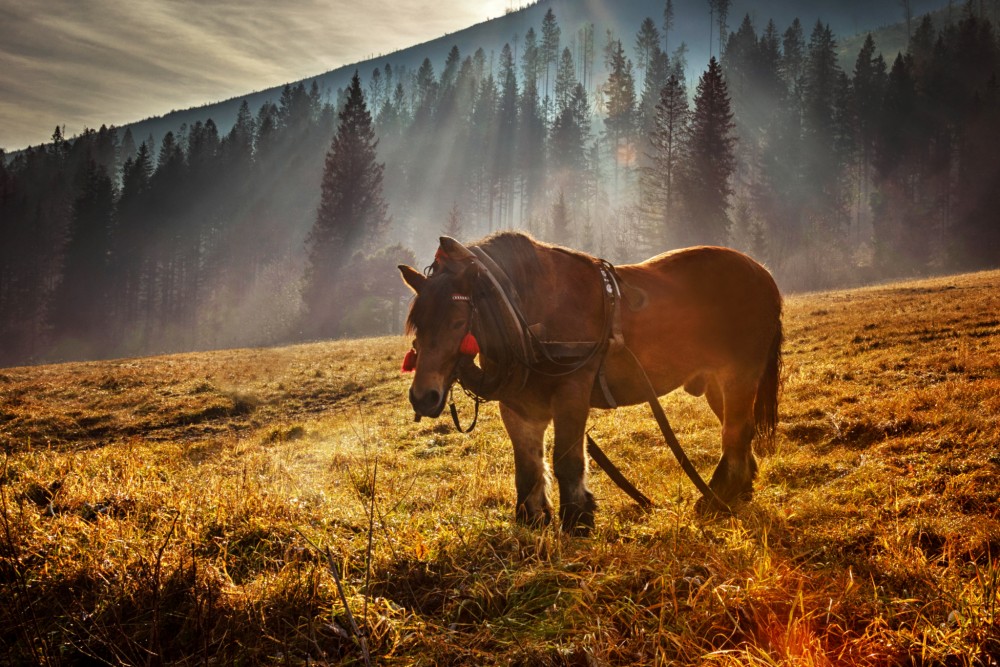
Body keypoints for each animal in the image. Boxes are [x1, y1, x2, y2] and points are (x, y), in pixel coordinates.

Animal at [398, 232, 780, 536]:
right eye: (418, 323)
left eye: (457, 321)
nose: (423, 397)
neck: (525, 315)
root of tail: (762, 272)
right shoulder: (519, 407)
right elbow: (528, 466)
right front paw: (532, 518)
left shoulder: (572, 393)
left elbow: (566, 459)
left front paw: (577, 519)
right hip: (718, 383)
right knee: (737, 430)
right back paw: (738, 490)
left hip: (740, 374)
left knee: (735, 432)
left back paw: (719, 497)